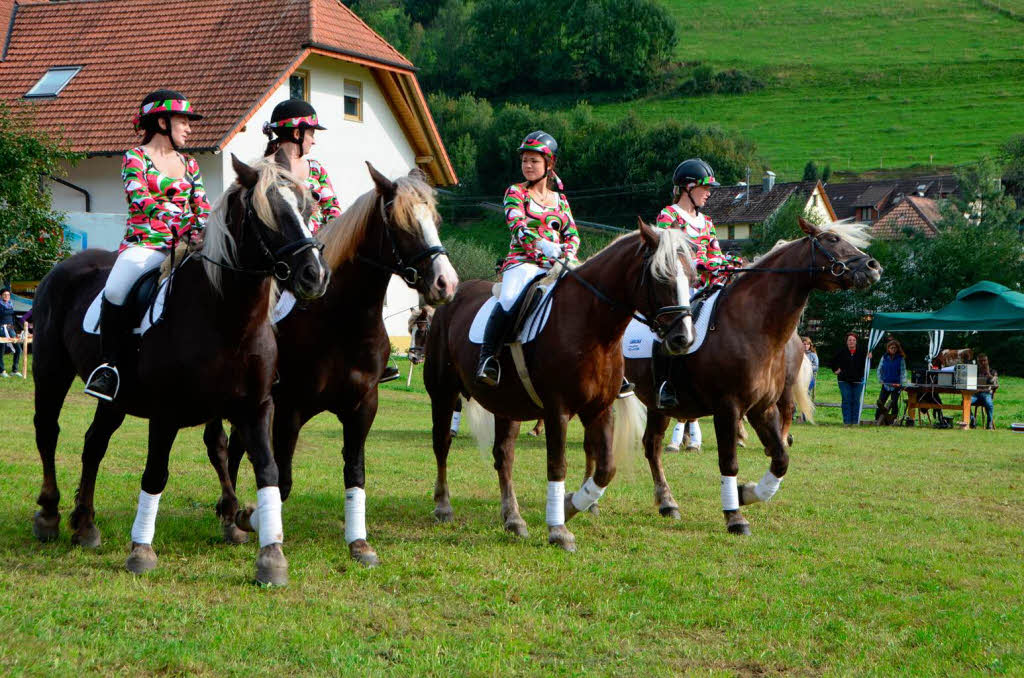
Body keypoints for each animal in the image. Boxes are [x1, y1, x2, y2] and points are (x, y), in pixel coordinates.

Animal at [202, 165, 456, 569]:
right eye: (400, 223)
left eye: (435, 219)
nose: (445, 283)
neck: (341, 320)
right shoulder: (289, 409)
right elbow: (283, 480)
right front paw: (249, 516)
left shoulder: (363, 407)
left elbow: (355, 471)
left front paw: (359, 543)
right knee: (220, 447)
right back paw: (230, 512)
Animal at [421, 223, 696, 553]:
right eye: (661, 277)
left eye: (692, 278)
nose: (683, 338)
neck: (591, 326)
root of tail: (452, 298)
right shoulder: (557, 410)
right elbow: (557, 465)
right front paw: (558, 529)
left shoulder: (599, 409)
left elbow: (606, 468)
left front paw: (571, 505)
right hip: (443, 394)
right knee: (442, 445)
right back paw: (443, 506)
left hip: (507, 406)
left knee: (504, 455)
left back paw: (513, 519)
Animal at [622, 218, 880, 536]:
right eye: (832, 240)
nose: (872, 266)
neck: (752, 326)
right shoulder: (728, 407)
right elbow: (729, 462)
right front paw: (734, 516)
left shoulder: (762, 408)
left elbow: (781, 459)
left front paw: (747, 493)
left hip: (657, 405)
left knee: (652, 446)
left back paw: (667, 503)